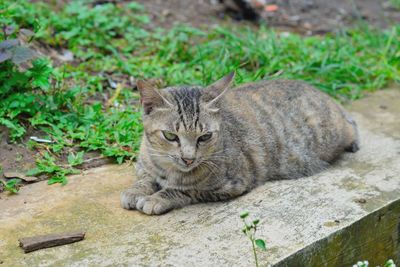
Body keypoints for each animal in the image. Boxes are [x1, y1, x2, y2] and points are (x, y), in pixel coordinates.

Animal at [119, 73, 360, 216]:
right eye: (170, 136)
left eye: (204, 137)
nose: (188, 158)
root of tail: (321, 93)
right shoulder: (145, 165)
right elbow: (145, 178)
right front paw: (136, 190)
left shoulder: (231, 184)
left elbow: (185, 190)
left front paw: (158, 197)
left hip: (334, 133)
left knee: (352, 123)